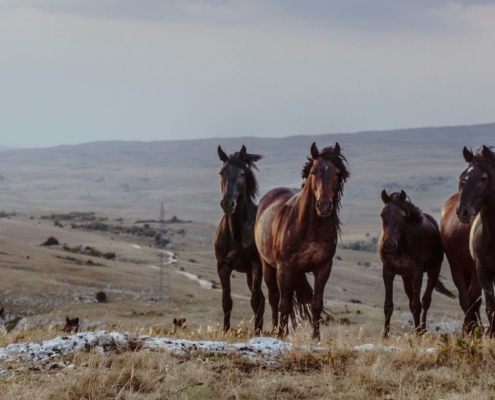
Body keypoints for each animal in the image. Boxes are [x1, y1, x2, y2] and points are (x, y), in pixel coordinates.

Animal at [215, 145, 266, 332]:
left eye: (242, 174)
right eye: (222, 172)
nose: (228, 203)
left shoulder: (256, 266)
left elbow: (255, 300)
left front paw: (258, 334)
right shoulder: (223, 266)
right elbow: (226, 301)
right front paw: (225, 331)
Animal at [256, 142, 348, 340]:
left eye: (337, 173)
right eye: (313, 171)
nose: (324, 206)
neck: (309, 229)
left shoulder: (323, 267)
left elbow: (316, 303)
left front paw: (316, 337)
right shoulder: (284, 268)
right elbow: (283, 304)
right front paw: (281, 334)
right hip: (268, 266)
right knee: (274, 298)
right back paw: (275, 330)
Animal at [380, 191, 458, 338]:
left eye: (403, 216)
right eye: (382, 214)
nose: (389, 245)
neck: (403, 244)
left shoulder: (417, 274)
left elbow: (417, 305)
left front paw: (418, 334)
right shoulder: (388, 272)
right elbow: (388, 305)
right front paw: (385, 335)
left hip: (433, 271)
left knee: (425, 302)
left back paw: (422, 330)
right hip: (406, 278)